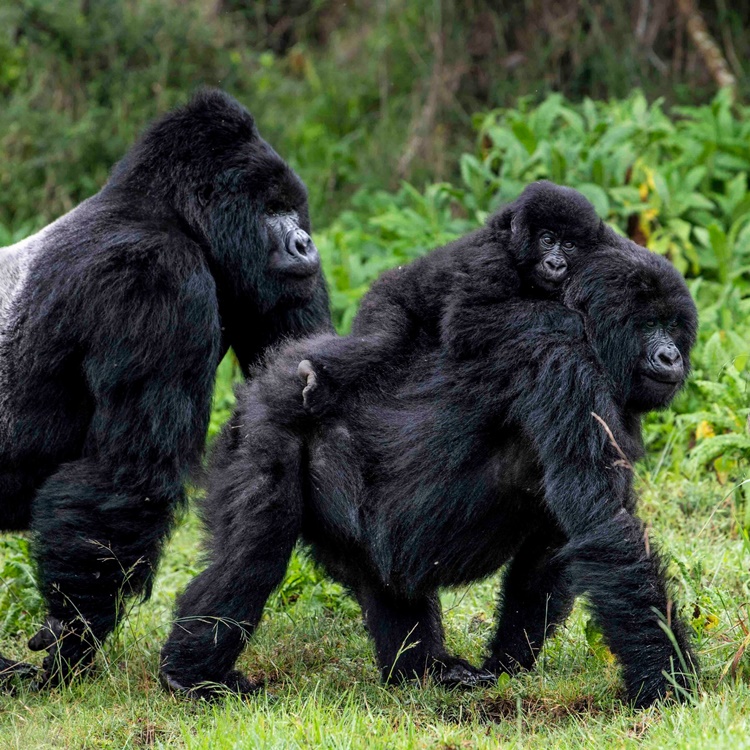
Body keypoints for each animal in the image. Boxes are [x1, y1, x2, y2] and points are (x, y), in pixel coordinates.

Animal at [0, 89, 332, 688]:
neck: (171, 213)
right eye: (271, 208)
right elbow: (129, 476)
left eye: (294, 208)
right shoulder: (154, 279)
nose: (304, 243)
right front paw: (75, 626)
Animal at [162, 236, 704, 712]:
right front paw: (669, 682)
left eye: (674, 327)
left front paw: (504, 667)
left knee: (384, 576)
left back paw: (422, 670)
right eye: (649, 324)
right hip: (266, 423)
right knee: (255, 548)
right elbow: (604, 524)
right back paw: (193, 674)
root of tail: (267, 375)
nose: (671, 356)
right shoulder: (566, 364)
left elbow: (555, 550)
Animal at [296, 183, 604, 418]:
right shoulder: (490, 261)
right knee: (380, 339)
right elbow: (464, 321)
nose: (556, 264)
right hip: (380, 297)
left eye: (569, 245)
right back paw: (320, 378)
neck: (508, 242)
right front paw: (571, 319)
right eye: (547, 239)